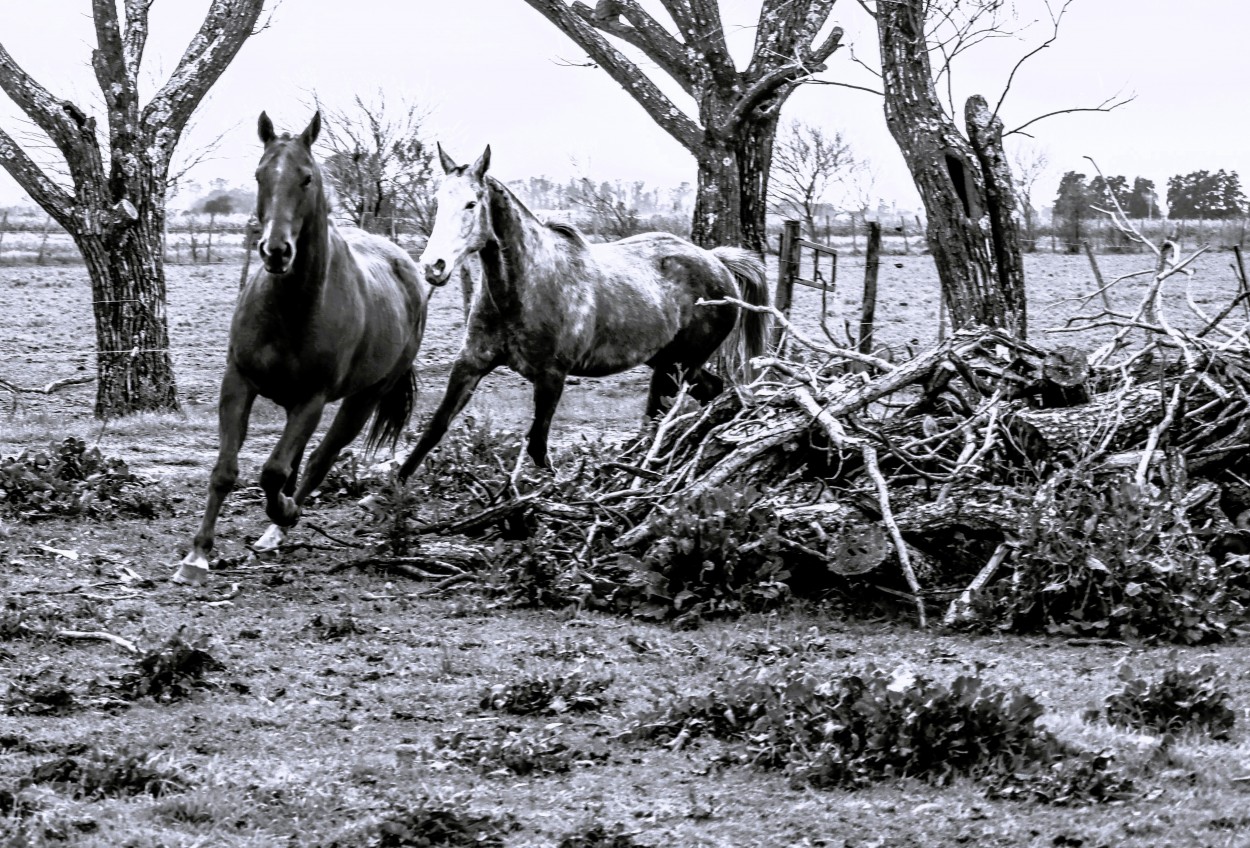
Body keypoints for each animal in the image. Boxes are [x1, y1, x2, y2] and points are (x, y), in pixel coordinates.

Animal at [173, 113, 440, 587]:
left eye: (307, 178)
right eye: (260, 175)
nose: (276, 251)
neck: (290, 308)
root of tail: (404, 264)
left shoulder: (313, 400)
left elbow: (275, 470)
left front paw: (285, 512)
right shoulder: (238, 382)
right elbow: (225, 471)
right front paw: (197, 555)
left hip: (361, 400)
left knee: (318, 459)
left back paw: (279, 526)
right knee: (298, 461)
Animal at [400, 146, 770, 485]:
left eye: (471, 204)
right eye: (439, 202)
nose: (433, 266)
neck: (524, 288)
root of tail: (717, 262)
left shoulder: (551, 377)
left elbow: (537, 447)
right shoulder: (471, 363)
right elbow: (435, 428)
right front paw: (396, 489)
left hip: (679, 366)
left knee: (667, 415)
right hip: (668, 363)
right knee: (700, 396)